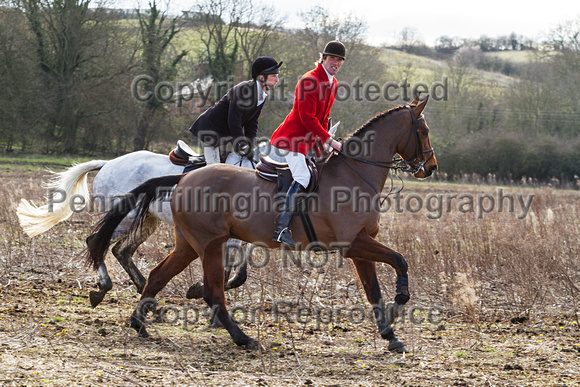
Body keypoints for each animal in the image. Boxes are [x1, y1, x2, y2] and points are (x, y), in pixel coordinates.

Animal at [86, 95, 438, 354]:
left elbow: (374, 290)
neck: (353, 175)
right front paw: (400, 301)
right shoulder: (353, 244)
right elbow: (400, 260)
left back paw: (140, 322)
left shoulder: (360, 246)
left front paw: (391, 333)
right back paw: (243, 338)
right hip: (203, 242)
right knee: (209, 291)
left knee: (155, 272)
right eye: (423, 131)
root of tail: (184, 178)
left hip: (186, 242)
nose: (430, 167)